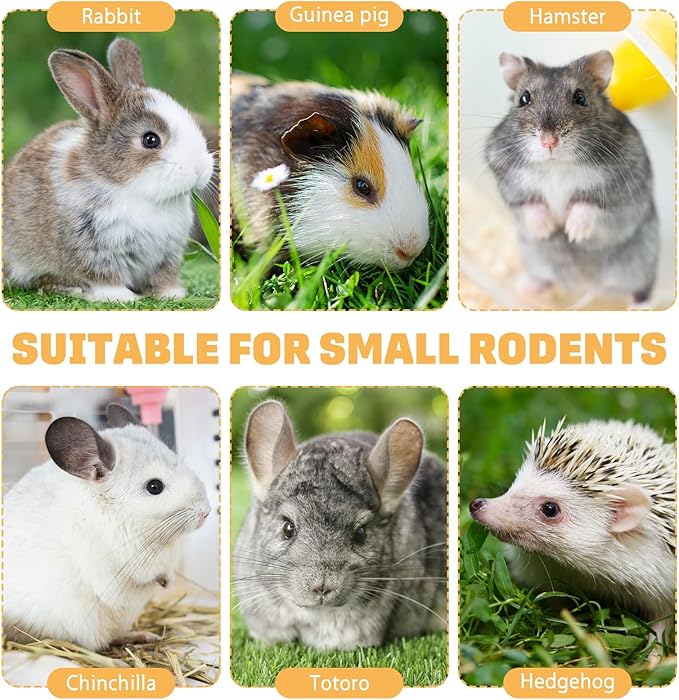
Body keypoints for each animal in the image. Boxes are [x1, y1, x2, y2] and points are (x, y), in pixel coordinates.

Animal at [3, 38, 214, 302]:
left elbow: (164, 277)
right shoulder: (94, 252)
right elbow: (104, 278)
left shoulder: (167, 256)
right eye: (150, 140)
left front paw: (171, 294)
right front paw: (122, 298)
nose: (201, 169)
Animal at [3, 404, 211, 651]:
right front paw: (161, 583)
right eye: (154, 486)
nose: (206, 511)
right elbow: (137, 582)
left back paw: (143, 635)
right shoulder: (116, 571)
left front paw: (167, 582)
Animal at [485, 51, 658, 305]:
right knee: (547, 279)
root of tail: (585, 286)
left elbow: (588, 205)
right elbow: (531, 205)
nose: (549, 141)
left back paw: (639, 306)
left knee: (642, 290)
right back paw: (524, 288)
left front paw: (572, 233)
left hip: (640, 265)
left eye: (580, 98)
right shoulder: (509, 183)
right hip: (536, 259)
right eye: (524, 99)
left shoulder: (622, 191)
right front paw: (546, 229)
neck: (557, 165)